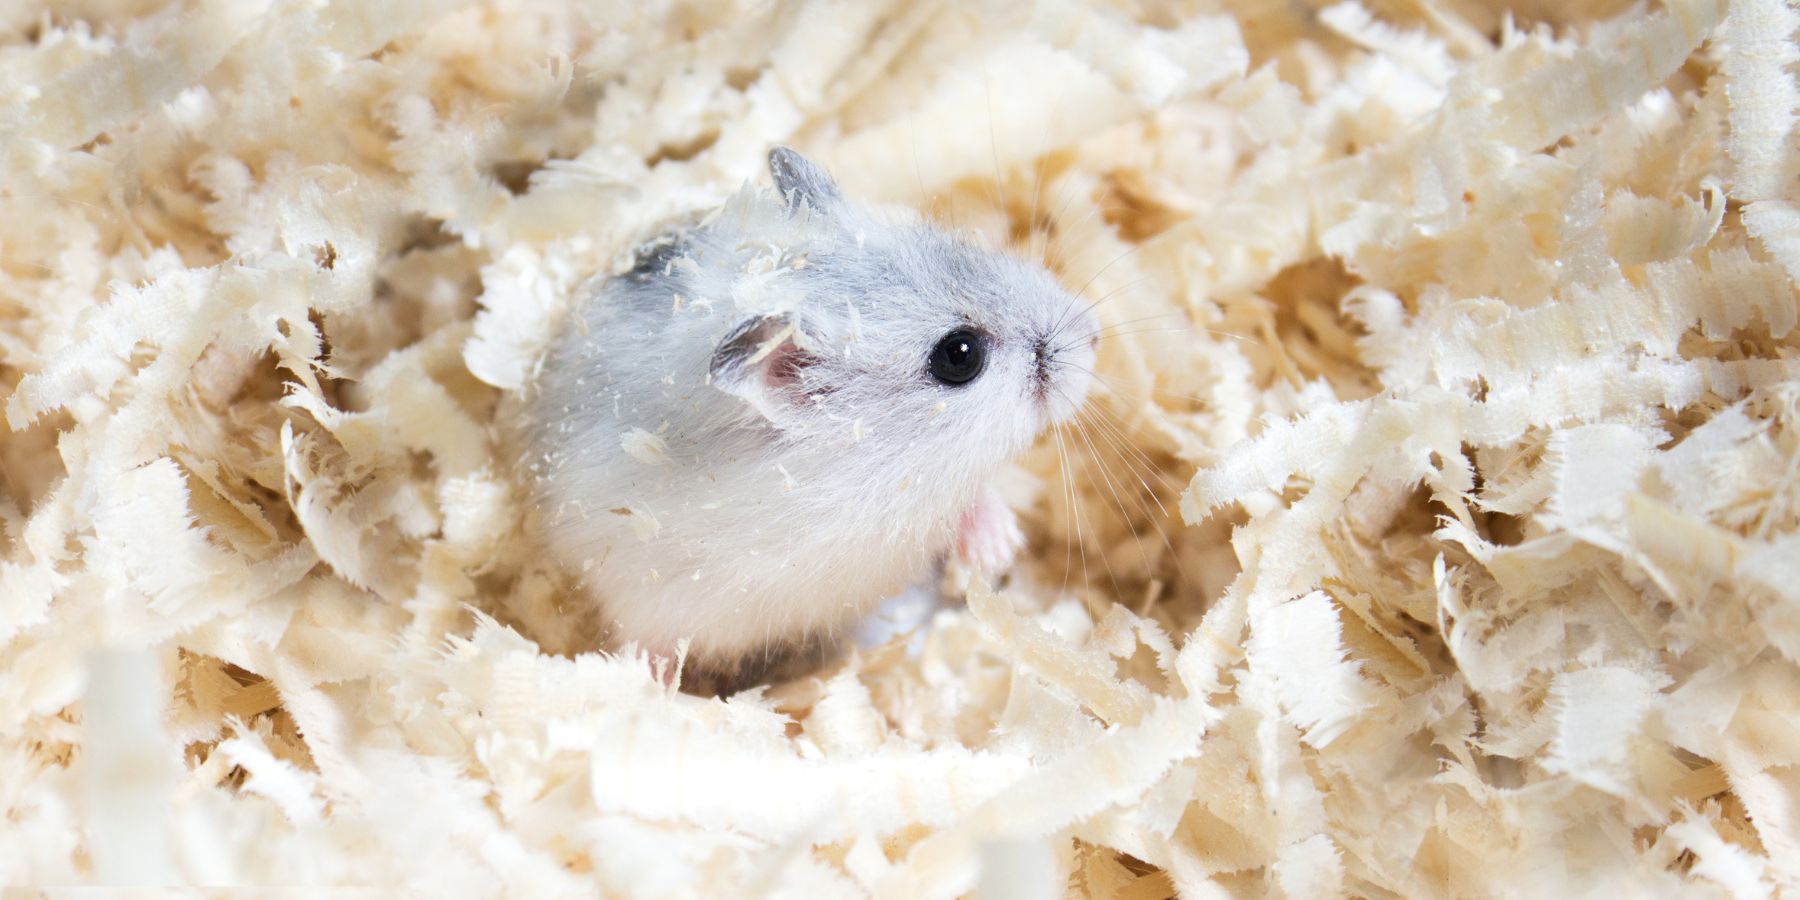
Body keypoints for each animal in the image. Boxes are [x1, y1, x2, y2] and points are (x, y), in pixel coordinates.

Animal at [521, 147, 1097, 680]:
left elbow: (974, 496)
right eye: (960, 356)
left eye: (954, 242)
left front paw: (1000, 549)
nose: (1092, 334)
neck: (876, 460)